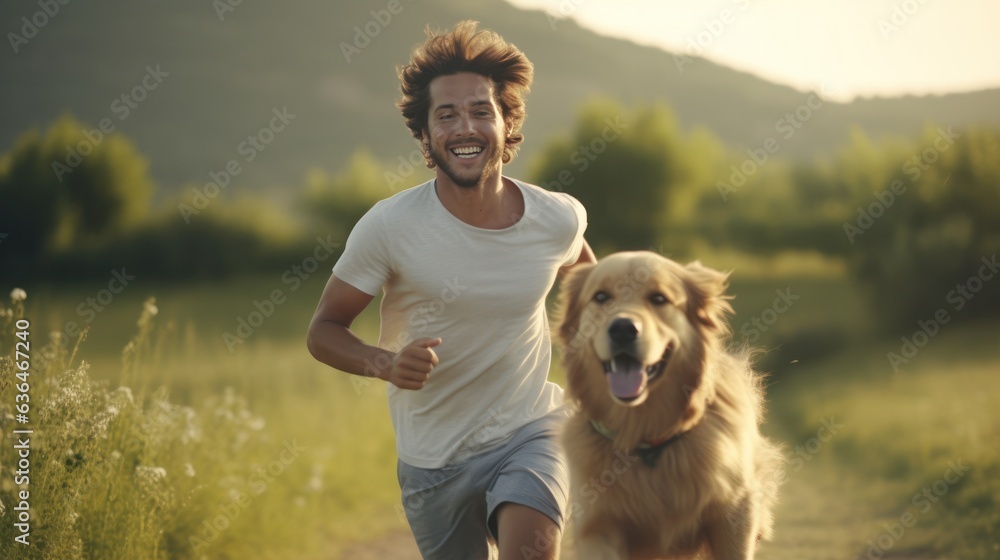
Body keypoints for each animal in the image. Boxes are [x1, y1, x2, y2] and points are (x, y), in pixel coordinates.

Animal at [556, 253, 780, 560]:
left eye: (659, 298)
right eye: (600, 297)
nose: (623, 328)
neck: (647, 439)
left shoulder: (733, 515)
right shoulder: (599, 525)